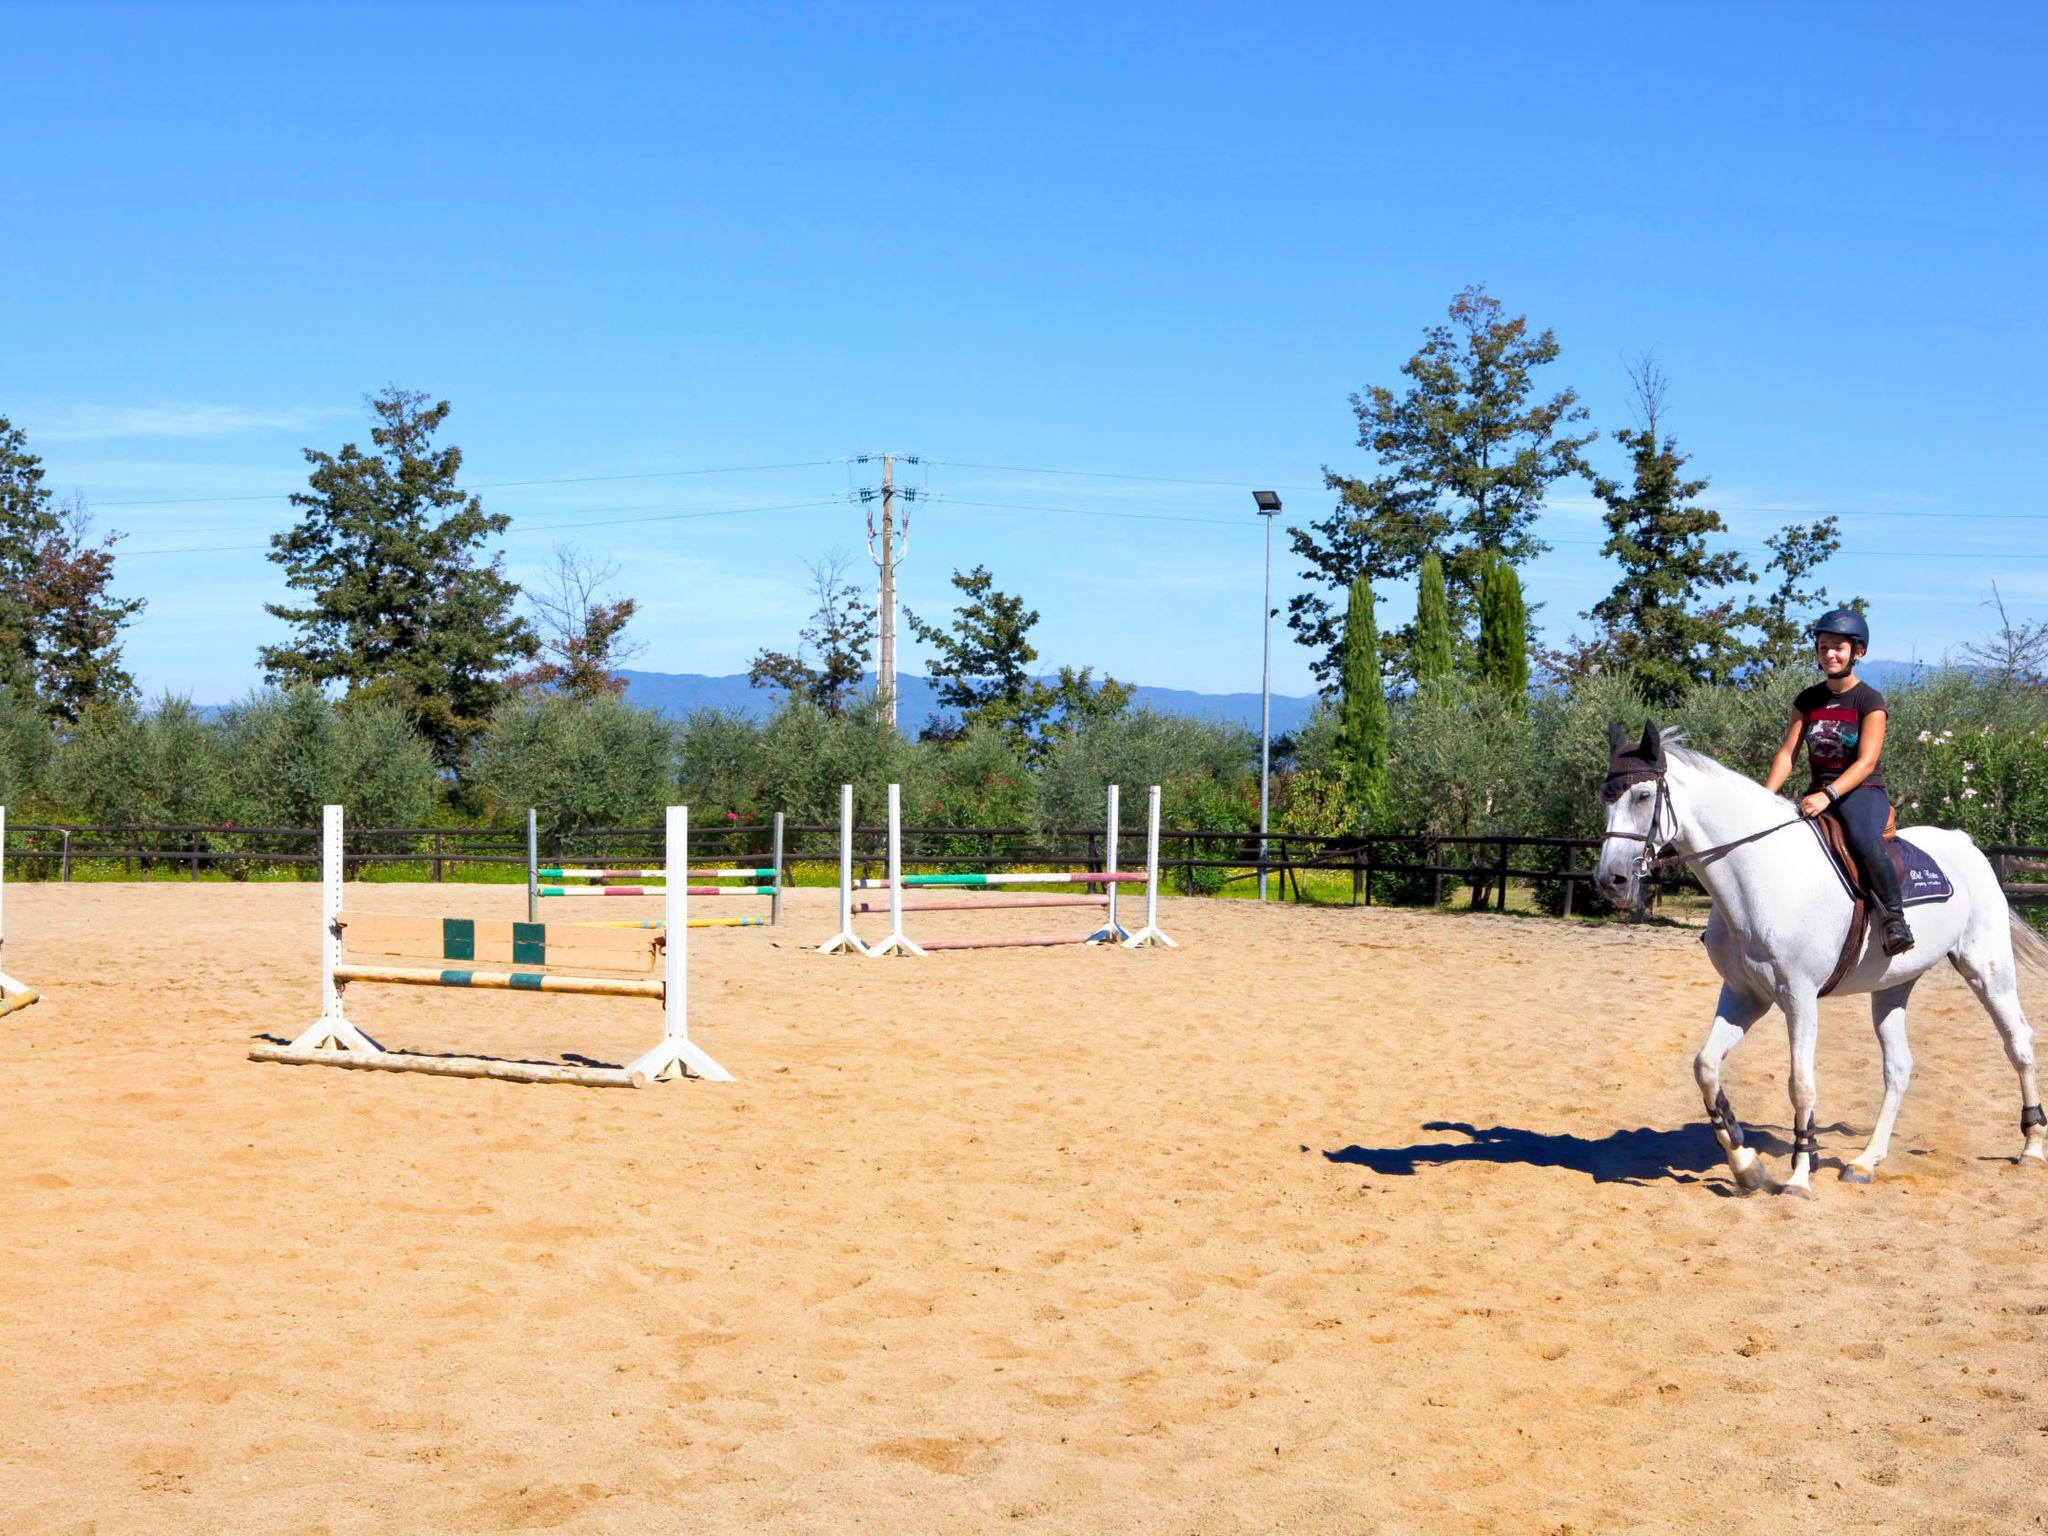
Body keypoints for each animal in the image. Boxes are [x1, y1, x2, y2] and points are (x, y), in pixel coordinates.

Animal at [1597, 724, 2048, 1204]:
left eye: (1643, 795)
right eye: (1605, 797)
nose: (1611, 880)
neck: (1760, 873)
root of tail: (1964, 843)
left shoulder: (1799, 997)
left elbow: (1800, 1083)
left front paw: (1798, 1175)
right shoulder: (1744, 996)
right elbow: (1705, 1067)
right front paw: (1745, 1165)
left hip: (1987, 969)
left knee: (2018, 1042)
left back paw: (2031, 1146)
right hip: (1892, 987)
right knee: (1898, 1068)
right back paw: (1865, 1162)